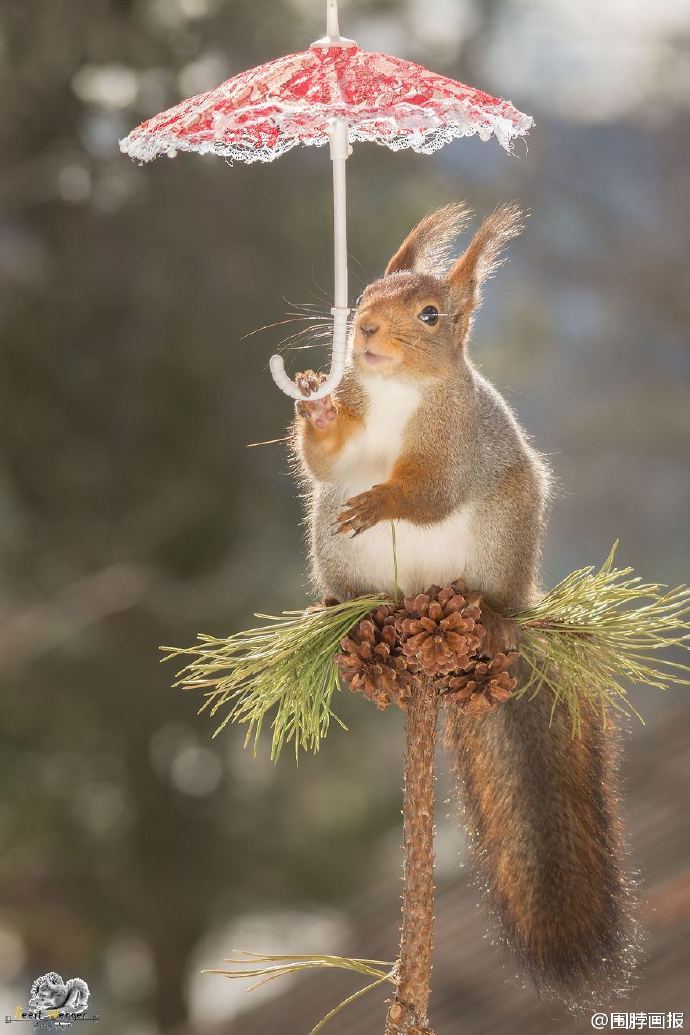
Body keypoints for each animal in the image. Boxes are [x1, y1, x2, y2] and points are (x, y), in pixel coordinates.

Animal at [289, 201, 637, 1001]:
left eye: (431, 315)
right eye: (366, 293)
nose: (365, 330)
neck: (396, 394)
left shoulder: (457, 442)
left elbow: (430, 490)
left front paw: (384, 497)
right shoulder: (348, 434)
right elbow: (326, 461)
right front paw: (315, 407)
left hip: (501, 534)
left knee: (490, 588)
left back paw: (491, 613)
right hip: (332, 538)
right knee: (341, 540)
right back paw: (340, 607)